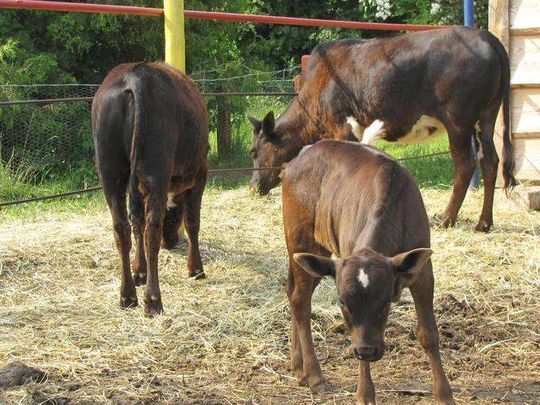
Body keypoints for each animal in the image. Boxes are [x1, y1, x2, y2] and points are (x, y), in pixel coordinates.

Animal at [92, 62, 209, 316]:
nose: (171, 242)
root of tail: (134, 75)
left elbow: (137, 222)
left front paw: (140, 270)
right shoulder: (200, 175)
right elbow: (192, 222)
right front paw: (196, 268)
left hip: (110, 173)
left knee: (122, 228)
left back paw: (127, 295)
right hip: (156, 174)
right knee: (151, 231)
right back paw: (153, 299)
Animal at [248, 27, 516, 233]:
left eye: (253, 151)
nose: (252, 185)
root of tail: (484, 35)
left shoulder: (342, 128)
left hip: (458, 122)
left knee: (465, 165)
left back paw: (446, 219)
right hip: (486, 118)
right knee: (490, 160)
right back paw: (483, 223)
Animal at [282, 140, 455, 405]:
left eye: (385, 302)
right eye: (342, 302)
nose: (367, 349)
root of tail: (305, 152)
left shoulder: (423, 272)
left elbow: (429, 333)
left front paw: (444, 394)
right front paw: (364, 394)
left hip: (316, 258)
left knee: (294, 294)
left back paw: (299, 367)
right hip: (301, 240)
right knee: (301, 300)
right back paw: (314, 375)